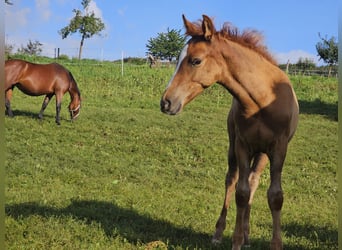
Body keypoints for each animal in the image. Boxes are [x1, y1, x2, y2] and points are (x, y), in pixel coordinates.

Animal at [162, 15, 298, 250]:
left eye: (195, 61)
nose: (166, 102)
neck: (262, 99)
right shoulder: (242, 145)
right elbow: (240, 193)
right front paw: (235, 241)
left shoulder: (279, 148)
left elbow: (275, 196)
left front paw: (275, 243)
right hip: (234, 147)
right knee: (232, 181)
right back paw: (222, 233)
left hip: (262, 154)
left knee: (253, 181)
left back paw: (247, 234)